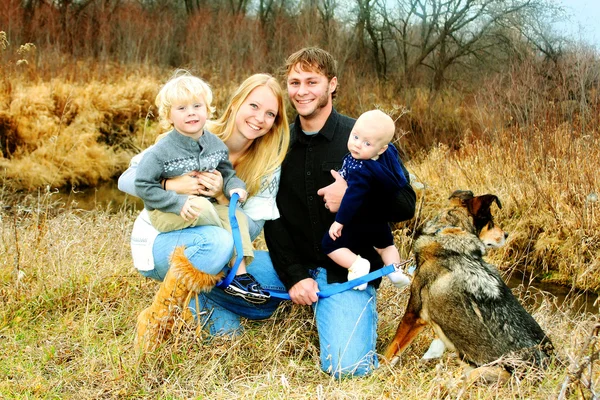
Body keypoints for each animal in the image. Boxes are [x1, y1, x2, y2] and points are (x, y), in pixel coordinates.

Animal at [384, 190, 552, 382]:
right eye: (490, 222)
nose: (507, 234)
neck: (446, 231)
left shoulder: (414, 314)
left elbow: (390, 351)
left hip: (481, 373)